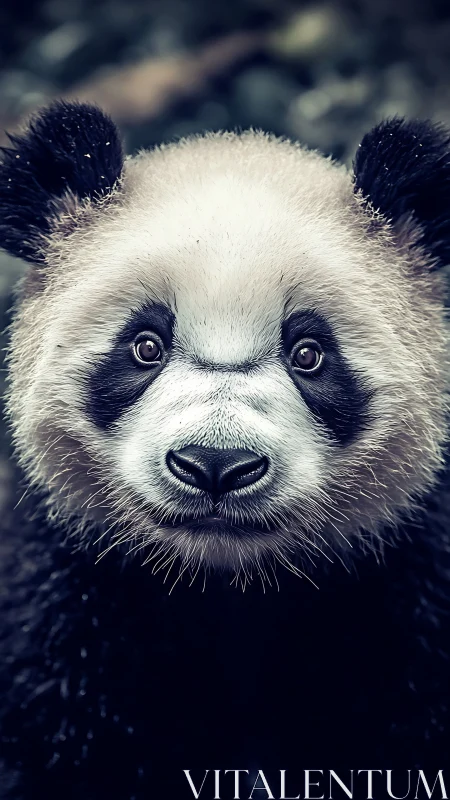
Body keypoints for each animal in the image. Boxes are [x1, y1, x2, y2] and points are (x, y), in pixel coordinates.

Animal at [0, 100, 450, 800]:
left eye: (309, 353)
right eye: (145, 346)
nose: (215, 466)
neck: (227, 588)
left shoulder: (407, 591)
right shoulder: (65, 596)